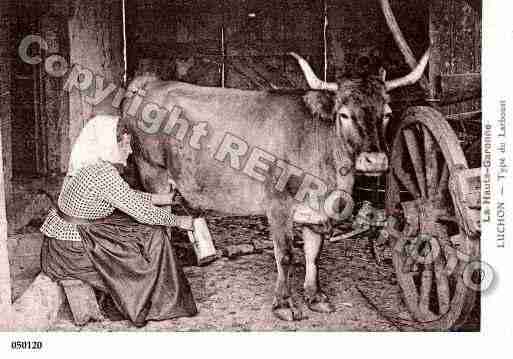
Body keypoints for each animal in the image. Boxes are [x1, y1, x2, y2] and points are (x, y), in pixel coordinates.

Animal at [121, 50, 428, 320]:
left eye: (386, 113)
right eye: (344, 114)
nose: (375, 160)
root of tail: (150, 82)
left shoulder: (316, 211)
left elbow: (314, 254)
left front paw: (315, 297)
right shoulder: (278, 206)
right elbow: (286, 255)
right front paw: (284, 305)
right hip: (153, 174)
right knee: (159, 223)